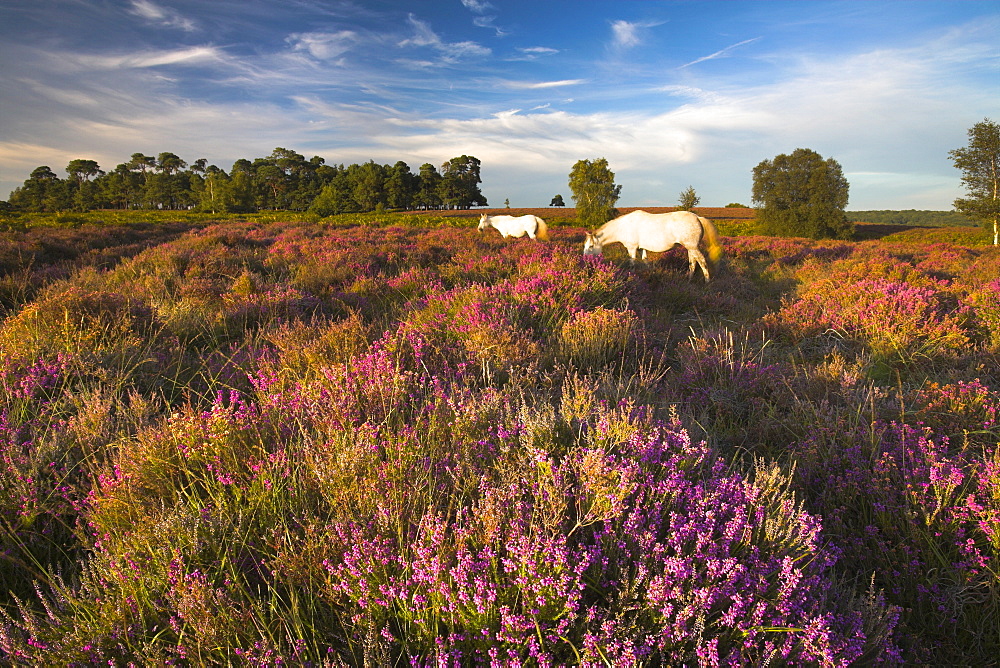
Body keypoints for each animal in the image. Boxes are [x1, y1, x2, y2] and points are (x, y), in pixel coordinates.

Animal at [584, 210, 724, 280]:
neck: (623, 227)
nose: (585, 261)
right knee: (693, 262)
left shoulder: (632, 248)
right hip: (690, 248)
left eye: (591, 246)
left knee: (701, 261)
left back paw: (707, 281)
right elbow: (646, 261)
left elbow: (632, 263)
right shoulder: (641, 248)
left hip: (692, 247)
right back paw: (689, 280)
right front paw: (652, 274)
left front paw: (631, 277)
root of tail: (698, 218)